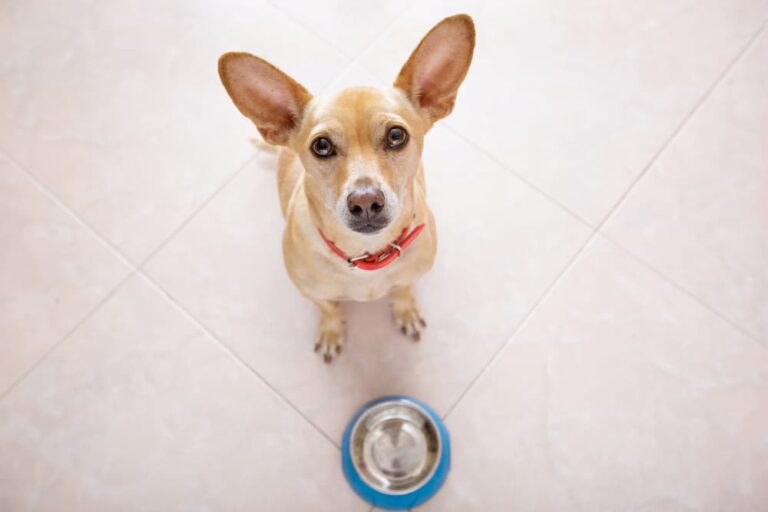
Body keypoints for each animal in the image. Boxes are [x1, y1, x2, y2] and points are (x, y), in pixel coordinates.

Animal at [216, 14, 476, 362]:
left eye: (397, 136)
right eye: (322, 146)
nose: (365, 201)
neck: (365, 258)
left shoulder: (411, 274)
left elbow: (403, 288)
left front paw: (405, 309)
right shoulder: (312, 292)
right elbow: (327, 308)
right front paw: (332, 330)